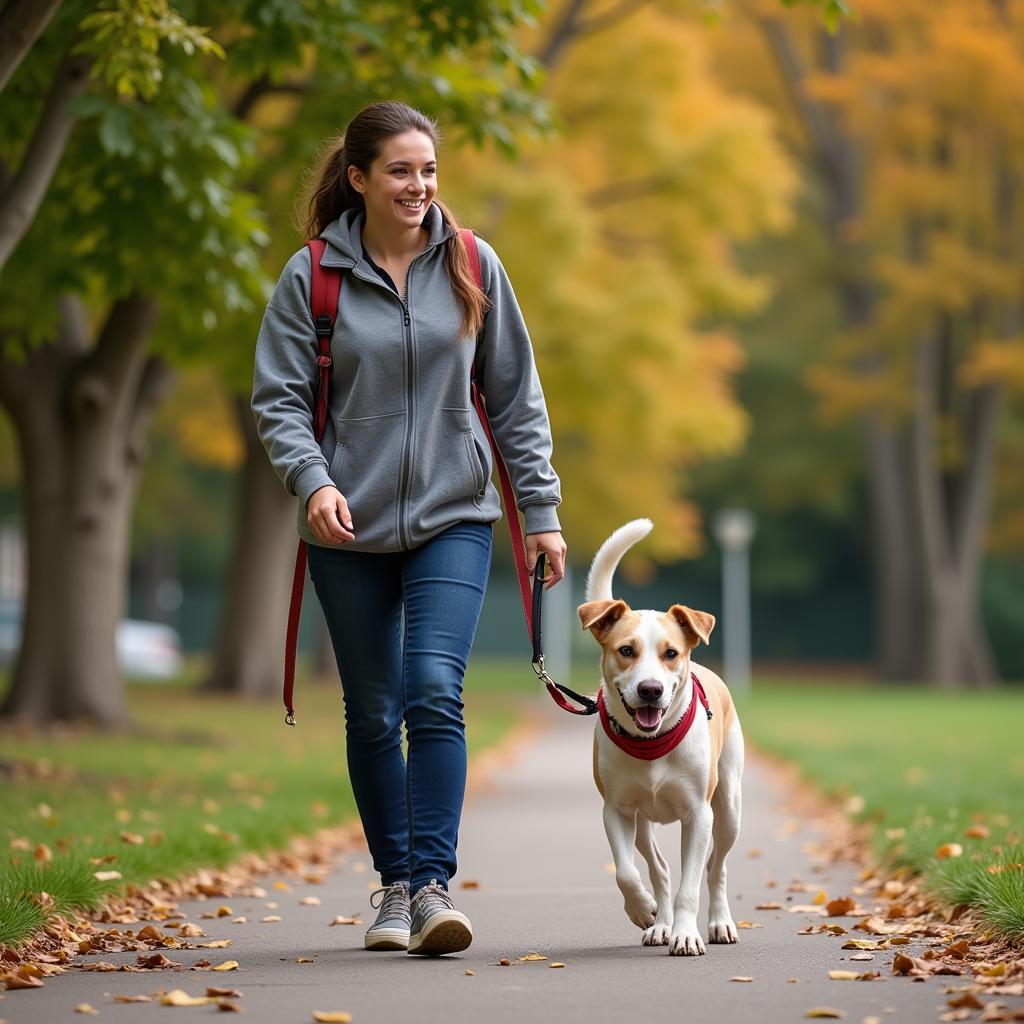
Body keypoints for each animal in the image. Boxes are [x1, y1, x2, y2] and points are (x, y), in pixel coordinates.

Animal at [577, 520, 745, 958]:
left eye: (671, 653)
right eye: (625, 650)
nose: (650, 690)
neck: (650, 743)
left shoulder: (698, 815)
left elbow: (692, 882)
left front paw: (687, 934)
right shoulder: (616, 810)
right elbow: (625, 872)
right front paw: (644, 910)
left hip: (728, 807)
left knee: (716, 866)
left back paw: (719, 922)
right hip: (641, 823)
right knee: (659, 868)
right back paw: (660, 922)